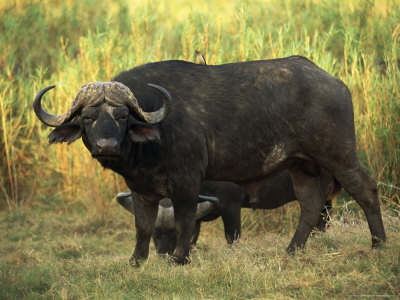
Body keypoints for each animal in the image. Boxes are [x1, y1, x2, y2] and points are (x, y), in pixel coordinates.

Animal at [33, 55, 384, 264]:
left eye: (122, 116)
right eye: (88, 117)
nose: (106, 145)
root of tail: (336, 84)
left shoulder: (188, 182)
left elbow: (185, 221)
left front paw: (179, 259)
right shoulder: (140, 189)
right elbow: (142, 226)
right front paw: (137, 261)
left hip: (338, 154)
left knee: (366, 190)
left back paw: (378, 244)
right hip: (301, 166)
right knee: (310, 206)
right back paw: (291, 250)